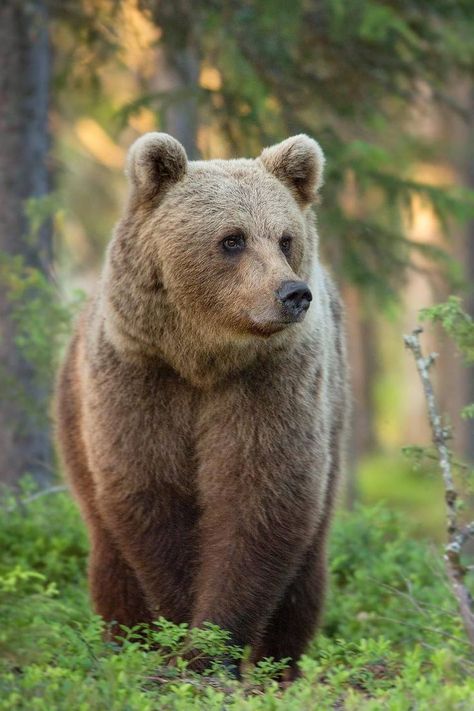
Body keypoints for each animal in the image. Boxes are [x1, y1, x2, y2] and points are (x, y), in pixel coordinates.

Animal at [55, 132, 350, 680]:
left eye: (285, 239)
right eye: (232, 239)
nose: (292, 294)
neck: (202, 361)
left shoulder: (271, 384)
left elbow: (259, 499)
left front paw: (212, 648)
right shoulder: (140, 378)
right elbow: (151, 493)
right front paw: (179, 631)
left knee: (306, 571)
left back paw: (279, 667)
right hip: (73, 420)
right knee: (110, 559)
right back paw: (126, 642)